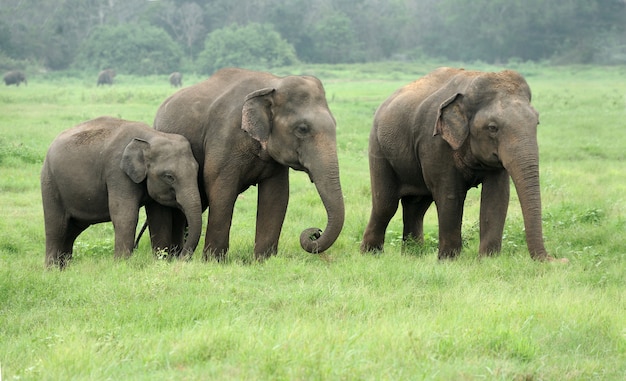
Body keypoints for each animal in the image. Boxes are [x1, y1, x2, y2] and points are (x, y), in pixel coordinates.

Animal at [41, 116, 201, 268]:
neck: (151, 136)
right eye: (169, 176)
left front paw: (160, 262)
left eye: (197, 170)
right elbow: (125, 215)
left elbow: (160, 217)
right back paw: (52, 271)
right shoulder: (117, 172)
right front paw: (121, 264)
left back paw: (64, 269)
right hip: (50, 183)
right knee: (56, 227)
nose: (179, 259)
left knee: (71, 230)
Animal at [151, 67, 344, 260]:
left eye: (336, 124)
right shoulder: (224, 139)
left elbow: (277, 196)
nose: (315, 232)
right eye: (302, 129)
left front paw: (264, 260)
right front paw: (214, 260)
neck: (273, 83)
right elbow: (221, 191)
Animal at [356, 67, 564, 262]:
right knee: (386, 204)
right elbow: (450, 195)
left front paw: (487, 260)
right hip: (378, 148)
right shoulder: (435, 142)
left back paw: (413, 255)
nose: (561, 260)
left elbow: (497, 196)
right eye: (492, 128)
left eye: (537, 123)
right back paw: (371, 254)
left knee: (417, 205)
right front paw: (449, 261)